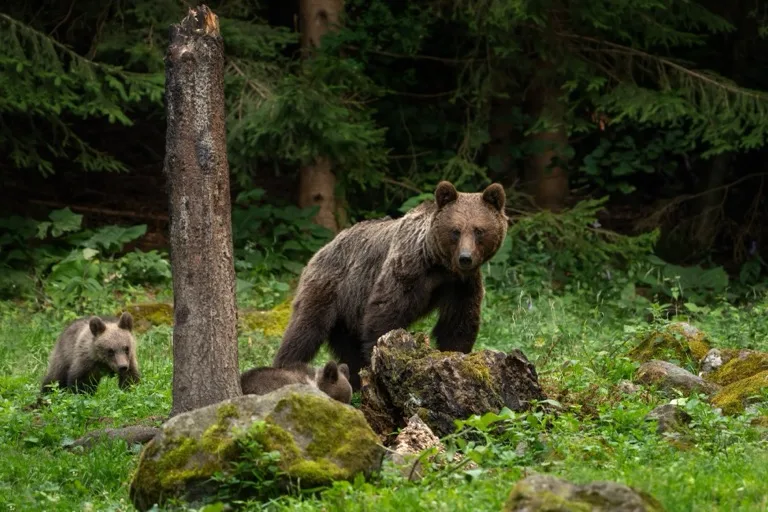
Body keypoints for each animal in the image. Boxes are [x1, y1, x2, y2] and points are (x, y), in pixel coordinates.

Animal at [272, 180, 507, 390]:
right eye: (455, 231)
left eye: (479, 230)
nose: (465, 258)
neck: (438, 264)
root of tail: (324, 247)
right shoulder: (408, 269)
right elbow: (385, 314)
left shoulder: (460, 284)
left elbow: (458, 323)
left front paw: (457, 355)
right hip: (330, 287)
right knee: (304, 331)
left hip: (348, 315)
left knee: (347, 349)